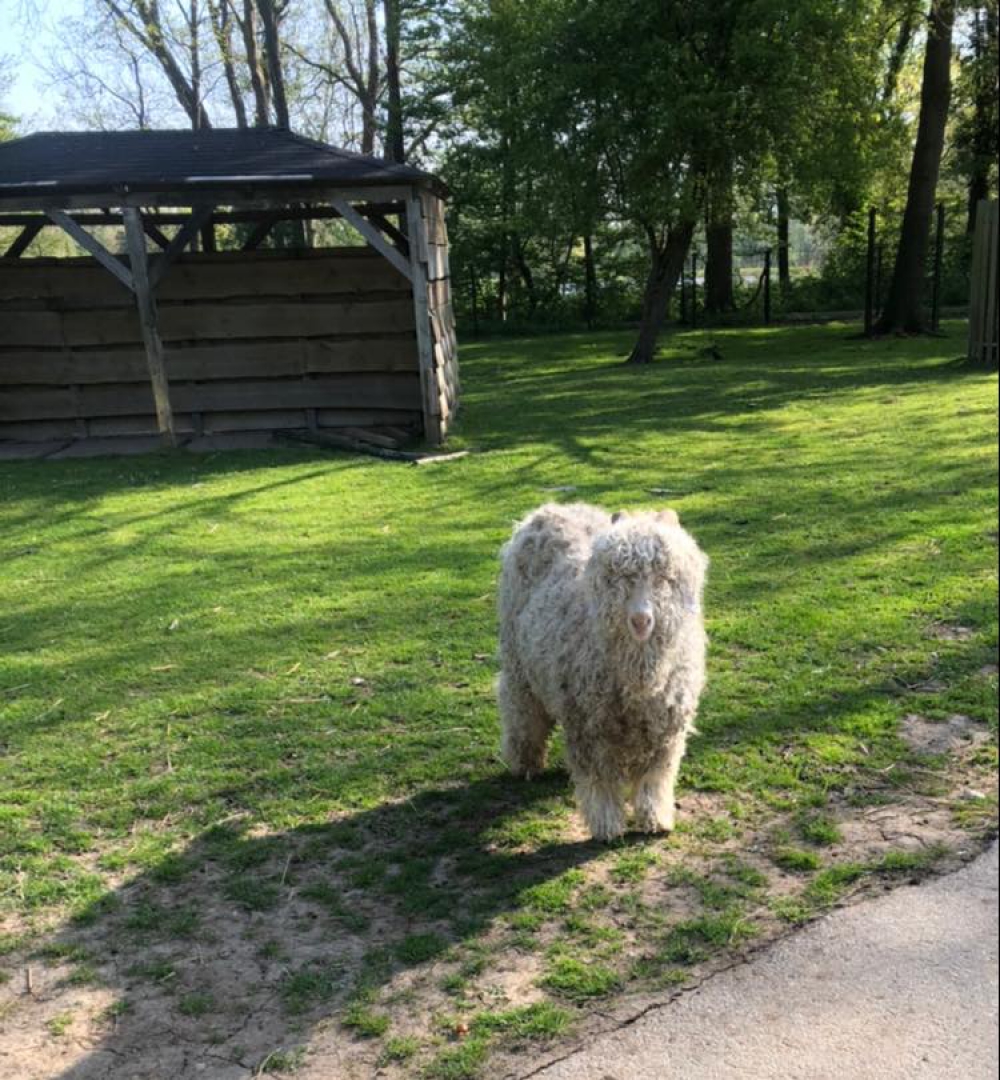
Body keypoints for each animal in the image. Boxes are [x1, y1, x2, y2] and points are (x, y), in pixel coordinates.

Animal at [496, 501, 708, 838]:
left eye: (663, 576)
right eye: (619, 575)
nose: (640, 620)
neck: (639, 678)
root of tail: (546, 511)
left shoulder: (666, 728)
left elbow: (655, 777)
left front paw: (655, 819)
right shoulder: (585, 723)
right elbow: (598, 779)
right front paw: (606, 825)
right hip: (517, 663)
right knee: (521, 710)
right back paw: (524, 763)